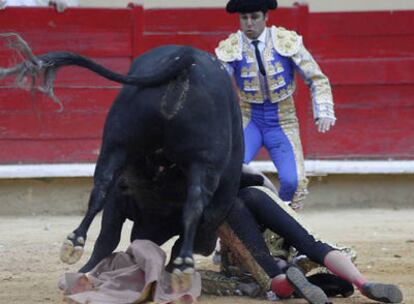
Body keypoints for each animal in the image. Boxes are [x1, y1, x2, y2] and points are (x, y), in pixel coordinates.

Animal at [33, 46, 246, 274]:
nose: (208, 247)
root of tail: (187, 56)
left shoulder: (120, 193)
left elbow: (107, 235)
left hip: (116, 143)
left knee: (101, 186)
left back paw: (74, 244)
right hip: (204, 161)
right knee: (195, 203)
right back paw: (184, 265)